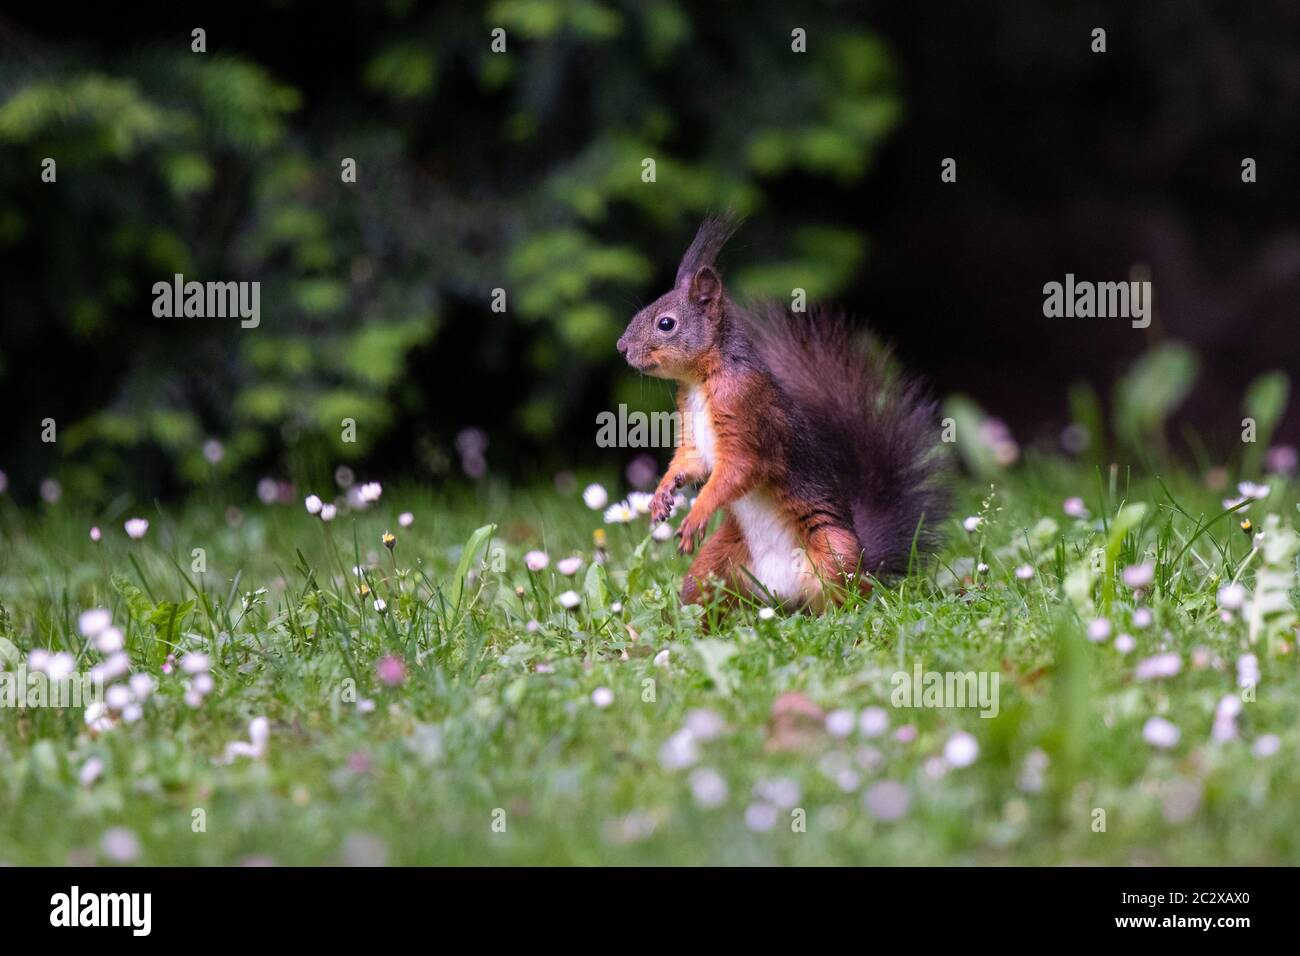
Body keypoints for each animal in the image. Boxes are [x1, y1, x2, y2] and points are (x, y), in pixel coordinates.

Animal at [613, 217, 951, 608]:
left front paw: (697, 513)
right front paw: (661, 494)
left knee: (848, 593)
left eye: (666, 324)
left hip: (835, 551)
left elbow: (739, 468)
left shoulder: (746, 413)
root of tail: (779, 595)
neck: (701, 381)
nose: (621, 347)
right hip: (712, 565)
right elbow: (690, 461)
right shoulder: (693, 433)